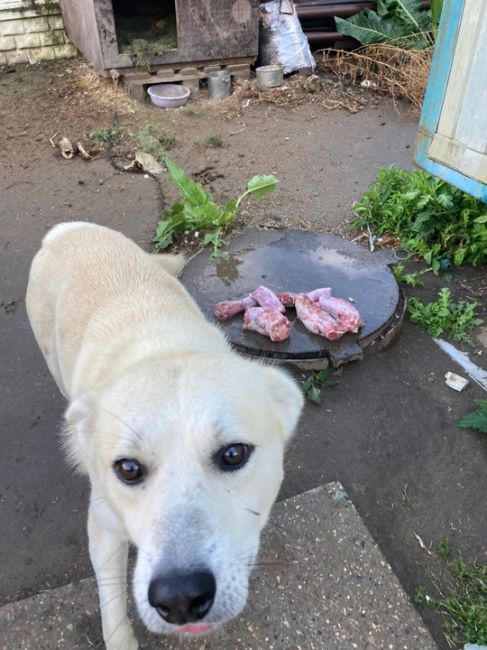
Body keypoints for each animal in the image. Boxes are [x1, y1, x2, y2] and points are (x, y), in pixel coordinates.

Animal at [26, 224, 304, 648]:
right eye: (127, 469)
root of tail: (67, 229)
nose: (180, 599)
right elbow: (112, 607)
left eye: (234, 454)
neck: (162, 348)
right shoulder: (103, 528)